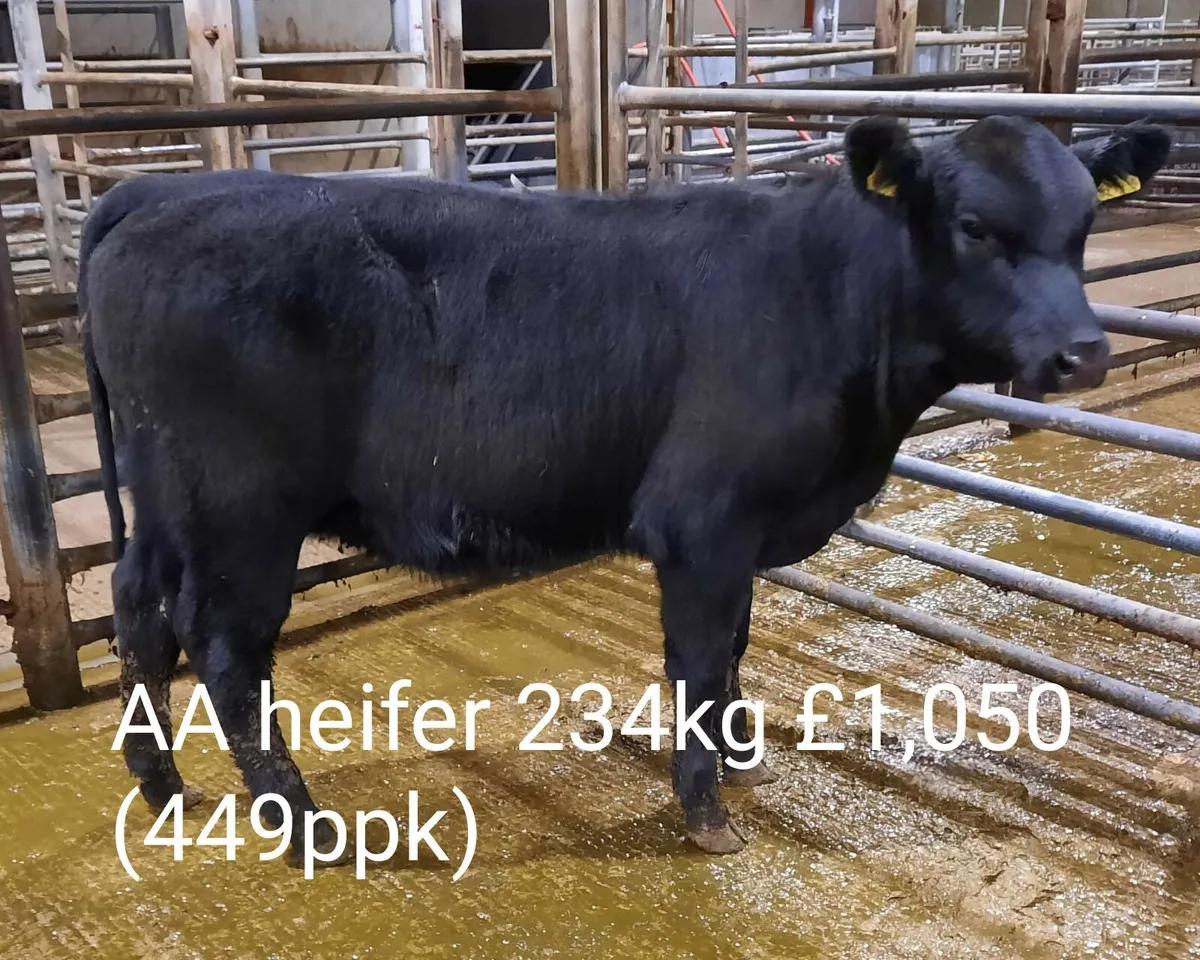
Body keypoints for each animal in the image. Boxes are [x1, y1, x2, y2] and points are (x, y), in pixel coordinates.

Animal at [82, 114, 1171, 862]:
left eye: (1085, 227)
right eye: (976, 227)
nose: (1082, 354)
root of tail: (159, 193)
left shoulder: (744, 533)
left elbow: (733, 650)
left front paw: (738, 757)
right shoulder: (701, 523)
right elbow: (699, 660)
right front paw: (707, 811)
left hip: (164, 500)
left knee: (139, 611)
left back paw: (164, 787)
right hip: (243, 511)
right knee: (226, 649)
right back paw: (301, 821)